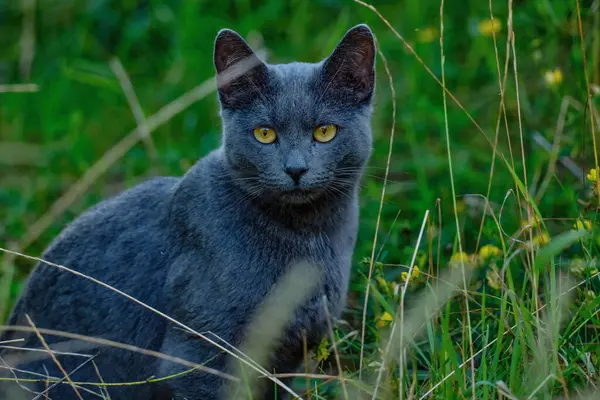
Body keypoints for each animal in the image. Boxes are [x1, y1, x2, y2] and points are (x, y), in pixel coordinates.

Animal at [0, 23, 376, 398]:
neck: (307, 238)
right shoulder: (196, 356)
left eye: (324, 131)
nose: (295, 169)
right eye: (264, 134)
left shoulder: (288, 357)